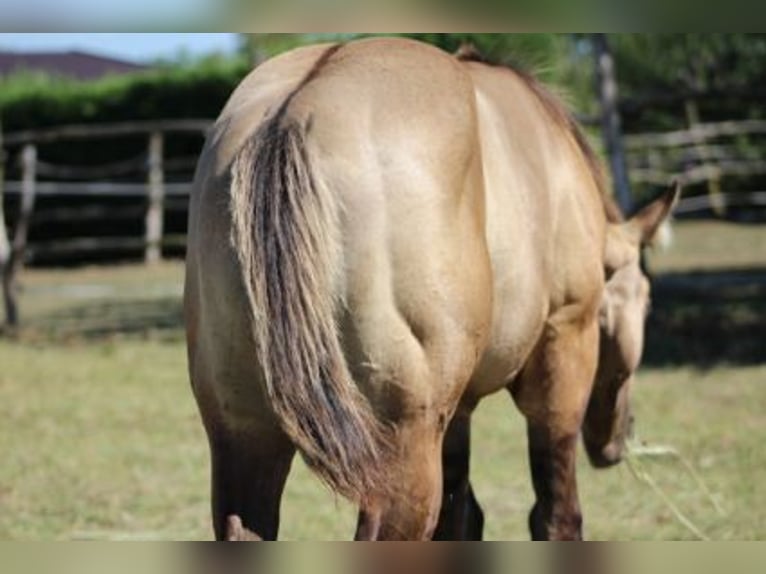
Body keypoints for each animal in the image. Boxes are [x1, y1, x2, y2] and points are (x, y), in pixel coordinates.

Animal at [184, 37, 680, 544]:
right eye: (644, 302)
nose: (619, 439)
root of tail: (293, 110)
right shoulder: (562, 352)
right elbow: (555, 515)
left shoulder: (456, 412)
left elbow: (461, 518)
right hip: (402, 453)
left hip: (244, 435)